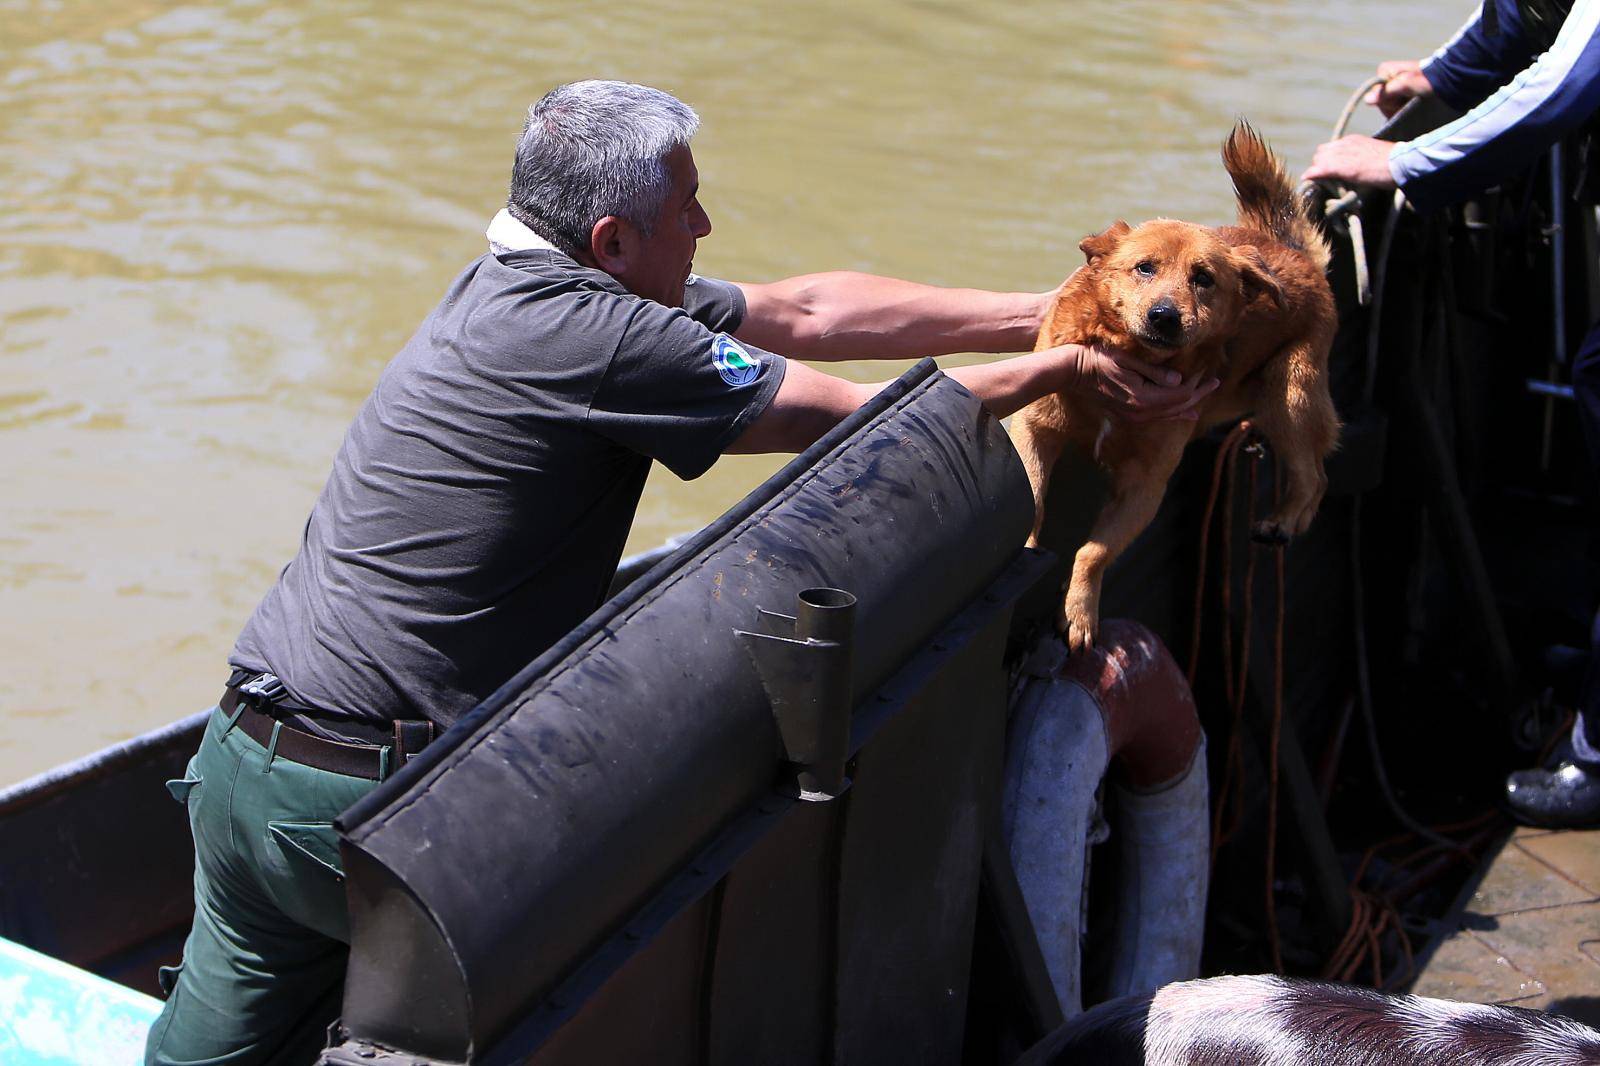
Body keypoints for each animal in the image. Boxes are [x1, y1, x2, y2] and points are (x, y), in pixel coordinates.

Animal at [1011, 118, 1337, 646]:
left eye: (1203, 278)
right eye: (1145, 267)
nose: (1165, 316)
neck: (1130, 357)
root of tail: (1288, 252)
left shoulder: (1147, 481)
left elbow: (1094, 551)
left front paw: (1079, 610)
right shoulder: (1035, 427)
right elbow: (1034, 497)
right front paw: (1026, 549)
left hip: (1288, 394)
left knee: (1314, 473)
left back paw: (1285, 520)